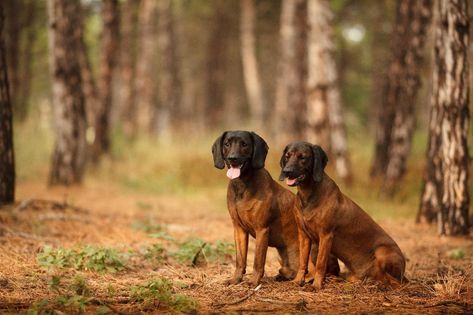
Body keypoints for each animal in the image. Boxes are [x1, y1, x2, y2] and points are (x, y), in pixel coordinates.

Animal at [211, 132, 340, 288]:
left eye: (244, 144)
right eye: (227, 144)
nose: (233, 158)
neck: (242, 184)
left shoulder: (262, 229)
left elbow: (258, 261)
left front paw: (254, 282)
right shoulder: (239, 228)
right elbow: (240, 260)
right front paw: (236, 280)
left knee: (313, 270)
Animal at [280, 143, 406, 292]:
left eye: (303, 157)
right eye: (287, 156)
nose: (287, 171)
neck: (308, 194)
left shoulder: (326, 236)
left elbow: (320, 263)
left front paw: (316, 285)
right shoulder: (303, 235)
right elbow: (303, 261)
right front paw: (298, 280)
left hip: (382, 252)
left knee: (395, 282)